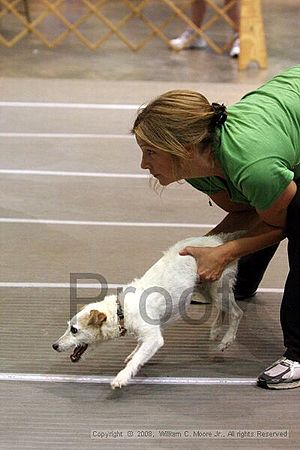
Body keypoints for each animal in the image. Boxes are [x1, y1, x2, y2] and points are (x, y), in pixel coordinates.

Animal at [52, 234, 243, 388]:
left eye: (74, 330)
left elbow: (137, 359)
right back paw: (216, 330)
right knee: (222, 310)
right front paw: (133, 355)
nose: (54, 346)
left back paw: (226, 340)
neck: (121, 310)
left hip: (218, 290)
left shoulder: (153, 338)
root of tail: (220, 241)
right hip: (207, 289)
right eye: (68, 326)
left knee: (236, 312)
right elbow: (138, 350)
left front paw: (122, 377)